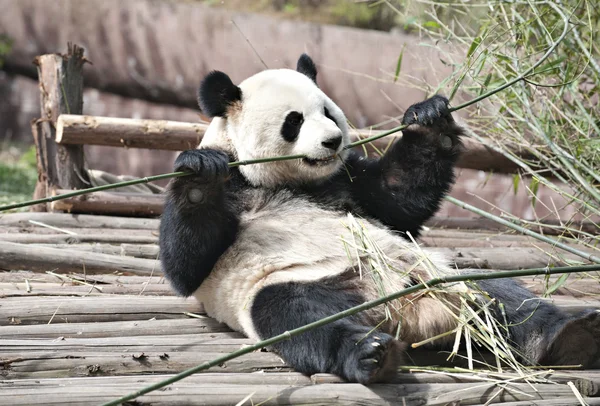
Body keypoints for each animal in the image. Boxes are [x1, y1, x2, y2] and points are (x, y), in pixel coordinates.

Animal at [159, 52, 600, 382]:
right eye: (294, 120)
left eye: (328, 112)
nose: (332, 141)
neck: (292, 181)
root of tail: (405, 314)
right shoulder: (238, 188)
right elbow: (187, 266)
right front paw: (199, 175)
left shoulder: (347, 181)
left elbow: (398, 198)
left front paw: (429, 119)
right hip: (295, 283)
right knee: (303, 318)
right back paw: (371, 354)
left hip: (436, 274)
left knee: (503, 298)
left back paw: (568, 336)